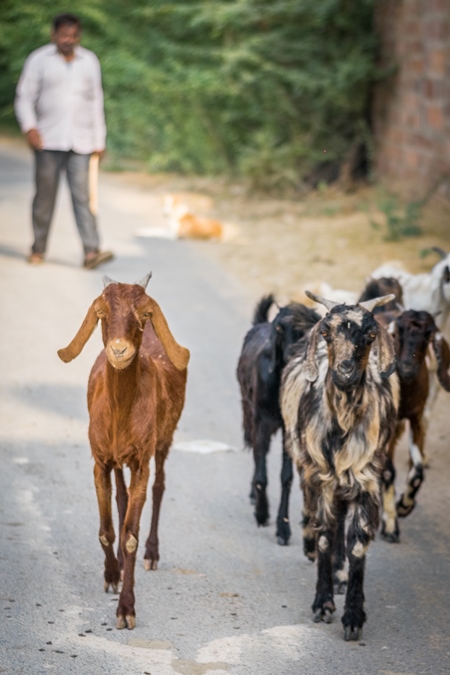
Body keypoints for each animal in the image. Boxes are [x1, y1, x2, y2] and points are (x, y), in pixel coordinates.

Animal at [57, 274, 188, 628]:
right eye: (102, 312)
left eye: (144, 314)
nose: (118, 350)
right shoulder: (100, 461)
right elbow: (107, 530)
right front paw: (111, 575)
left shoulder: (141, 461)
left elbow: (130, 535)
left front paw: (126, 608)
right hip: (117, 461)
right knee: (121, 497)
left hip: (163, 440)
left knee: (159, 486)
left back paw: (152, 553)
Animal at [236, 294, 320, 544]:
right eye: (281, 327)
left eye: (310, 329)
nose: (293, 354)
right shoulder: (261, 420)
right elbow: (262, 473)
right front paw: (262, 513)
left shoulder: (289, 428)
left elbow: (286, 476)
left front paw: (283, 527)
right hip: (248, 411)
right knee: (256, 452)